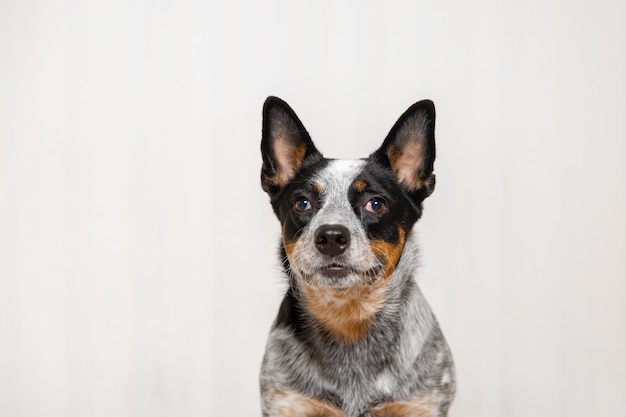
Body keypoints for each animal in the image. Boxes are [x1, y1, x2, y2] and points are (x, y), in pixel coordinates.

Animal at [258, 96, 454, 416]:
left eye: (375, 204)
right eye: (302, 203)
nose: (331, 237)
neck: (348, 320)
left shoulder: (421, 404)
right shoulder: (287, 402)